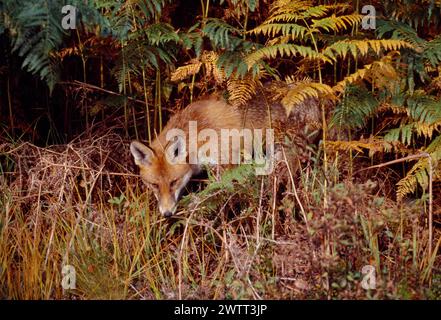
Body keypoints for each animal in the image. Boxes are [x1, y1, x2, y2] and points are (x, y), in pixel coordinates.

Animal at [129, 93, 318, 218]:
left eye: (173, 182)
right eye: (154, 185)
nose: (167, 214)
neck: (198, 136)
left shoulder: (226, 166)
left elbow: (212, 193)